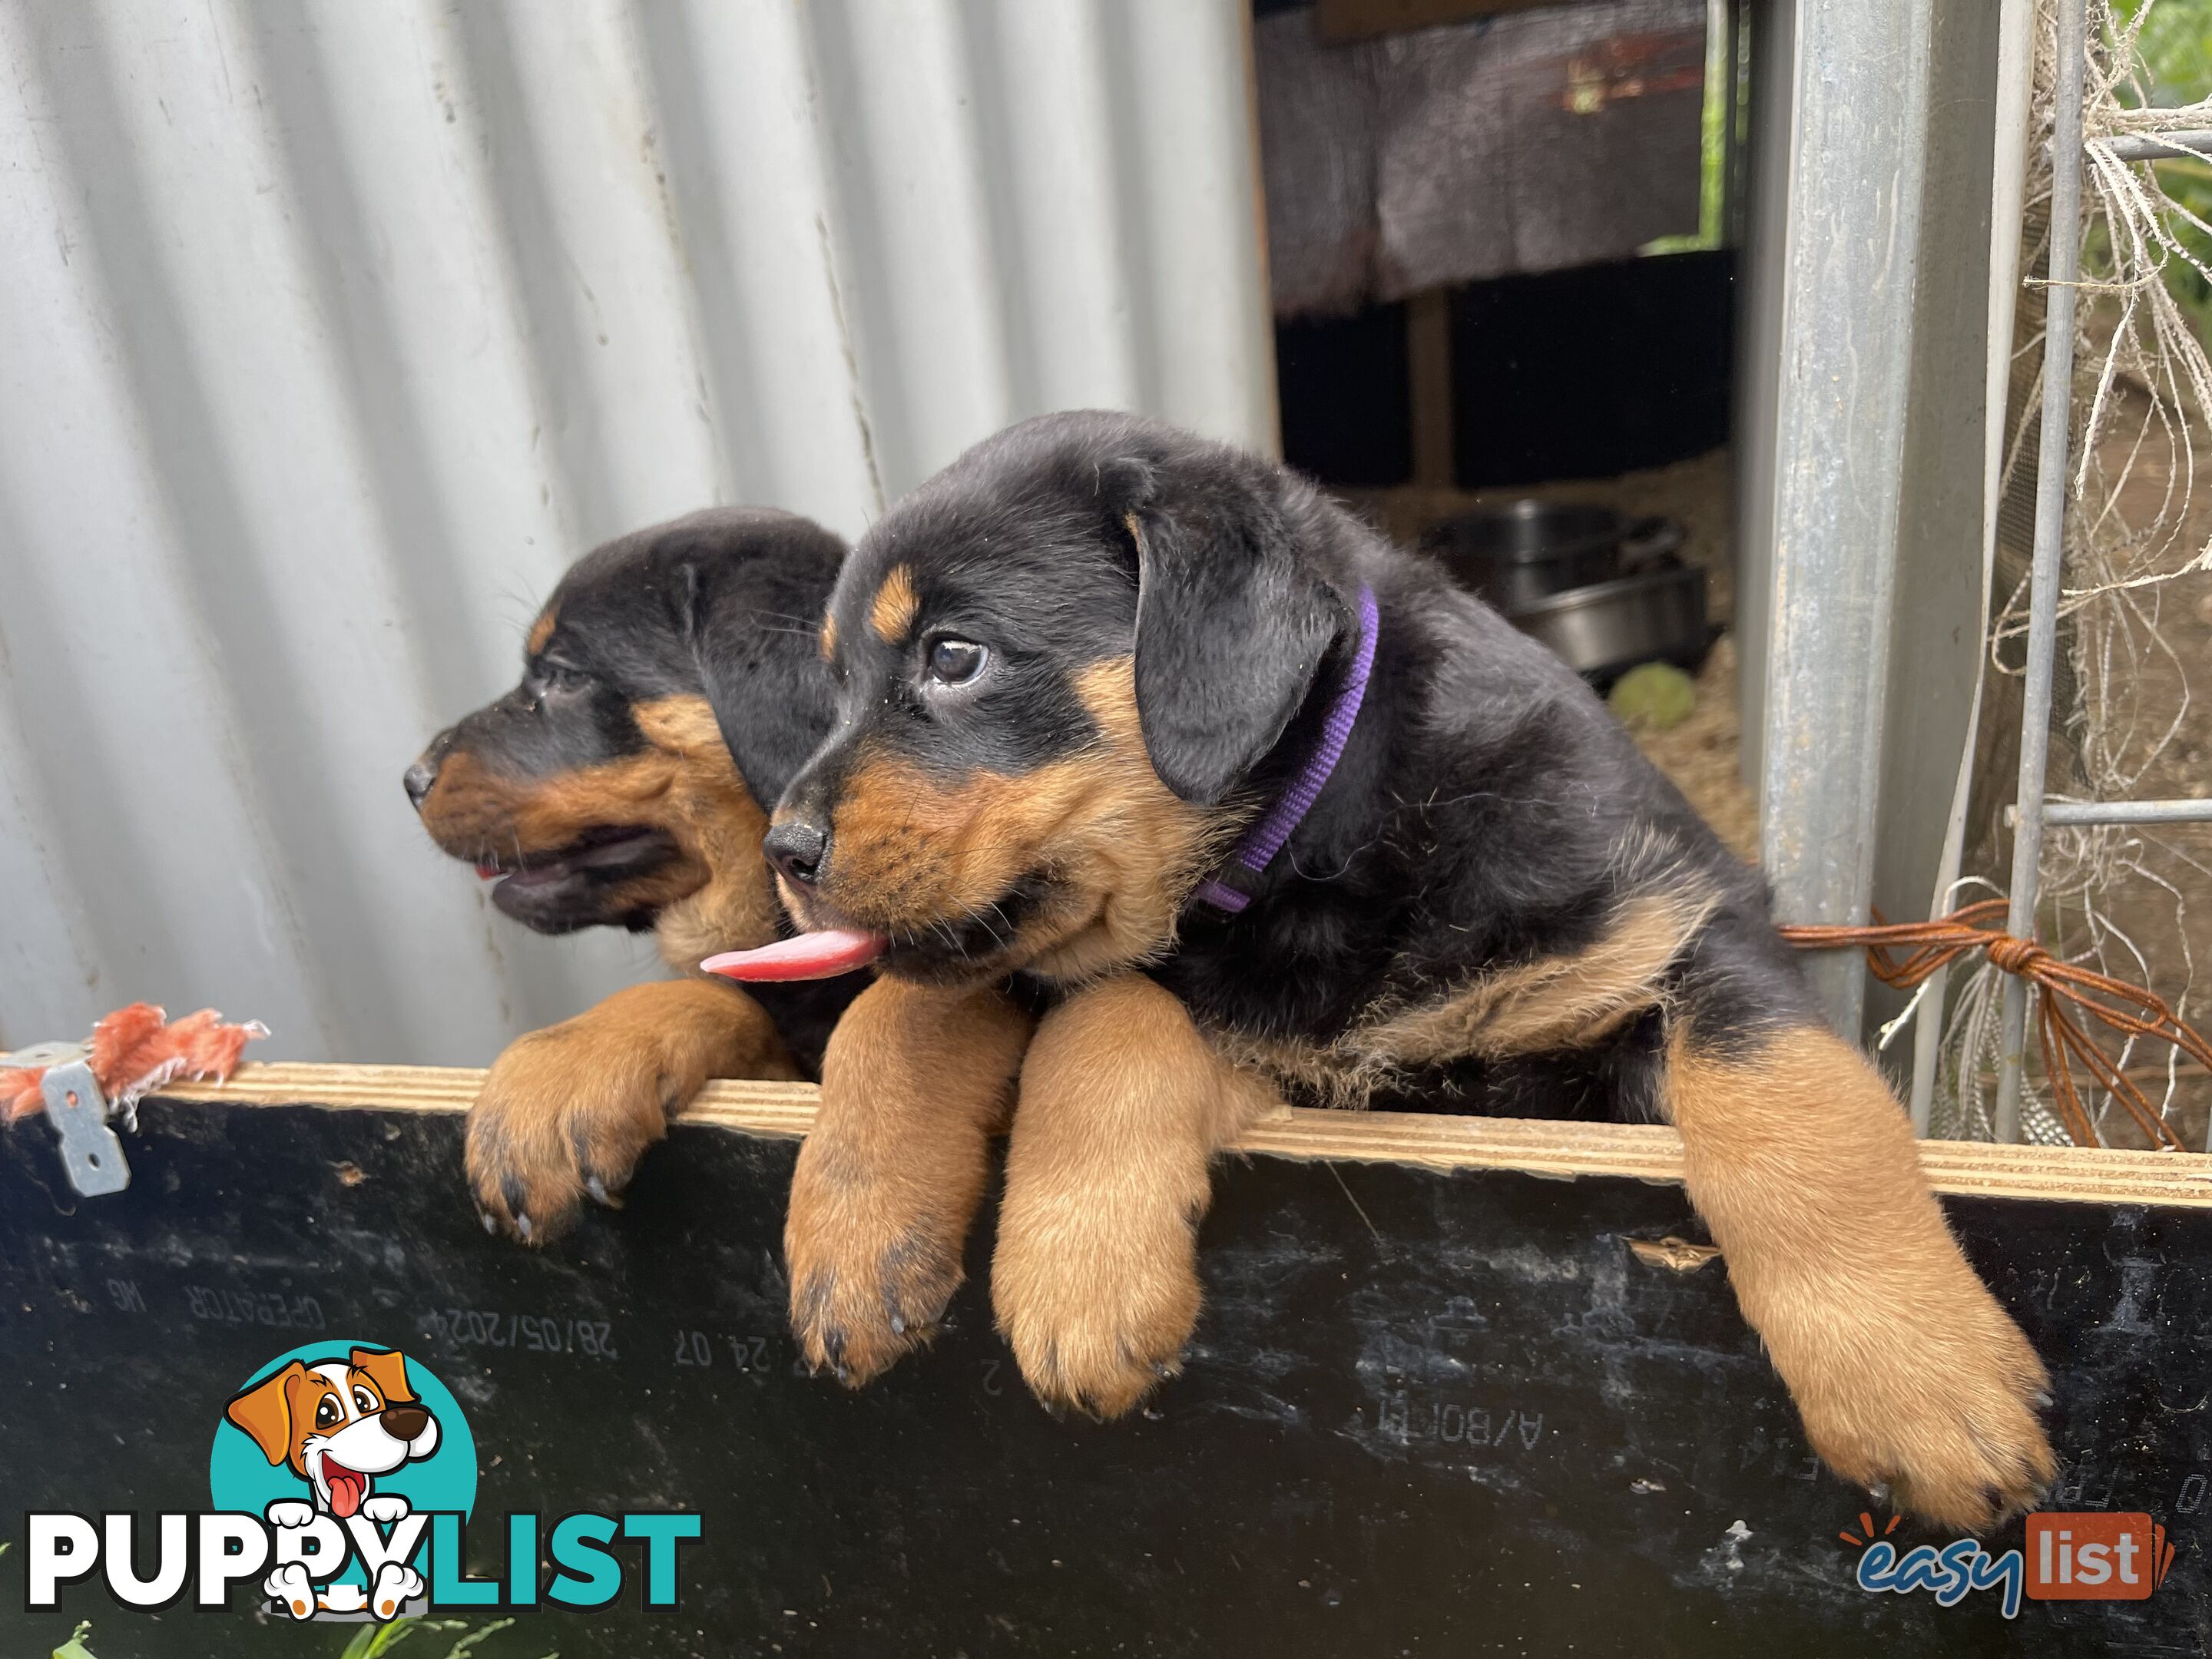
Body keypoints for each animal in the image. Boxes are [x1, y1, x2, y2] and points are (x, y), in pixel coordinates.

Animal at [756, 413, 2052, 1530]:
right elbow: (969, 1003)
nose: (784, 852)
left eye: (954, 656)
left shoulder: (1682, 922)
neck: (1327, 834)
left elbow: (1792, 1096)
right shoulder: (1279, 1049)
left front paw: (1921, 1382)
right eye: (838, 685)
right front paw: (875, 1244)